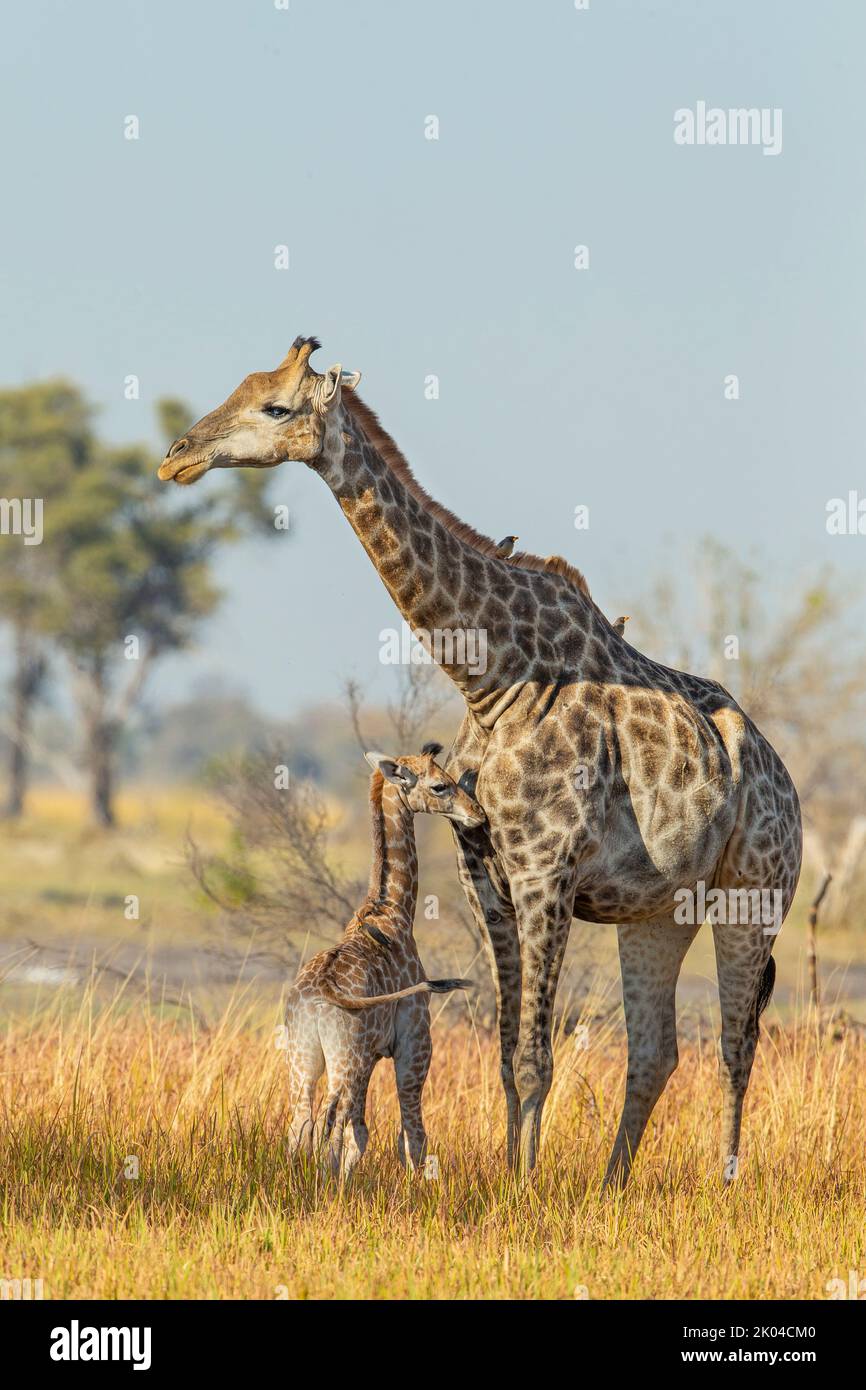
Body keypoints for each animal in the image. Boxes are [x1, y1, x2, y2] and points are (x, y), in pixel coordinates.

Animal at [286, 745, 483, 1178]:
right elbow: (412, 1133)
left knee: (301, 1123)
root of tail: (317, 997)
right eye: (440, 785)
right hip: (345, 1057)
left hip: (302, 1055)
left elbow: (361, 1134)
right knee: (331, 1121)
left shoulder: (372, 1057)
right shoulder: (414, 1041)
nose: (478, 814)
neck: (394, 911)